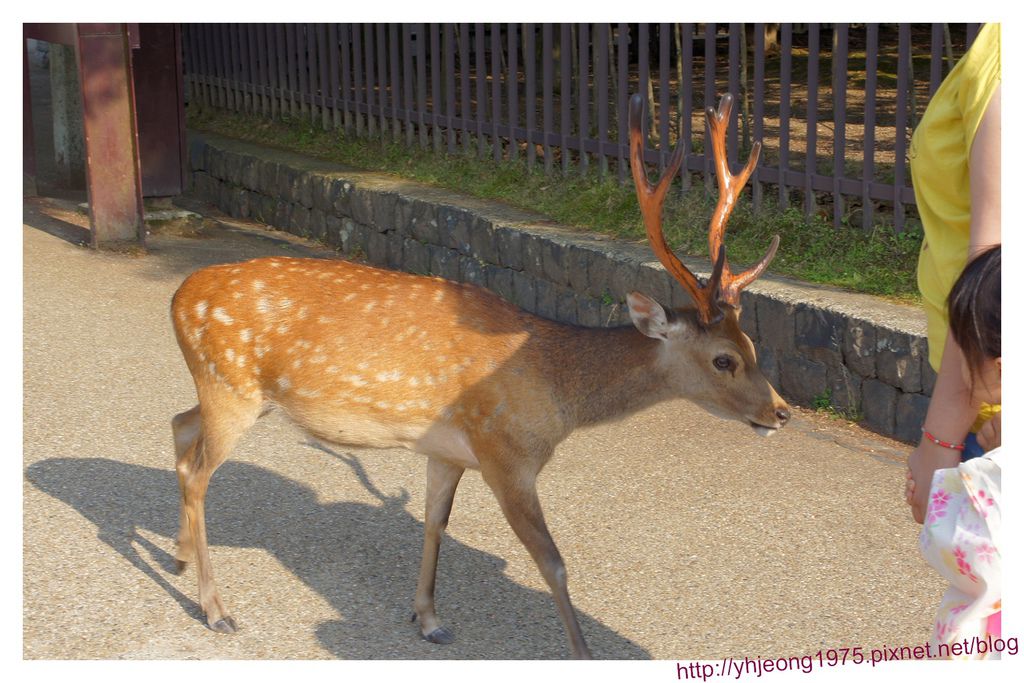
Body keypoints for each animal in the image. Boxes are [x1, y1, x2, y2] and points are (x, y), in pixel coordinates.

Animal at [172, 93, 786, 659]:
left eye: (754, 345)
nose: (779, 411)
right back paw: (216, 609)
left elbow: (435, 522)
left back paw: (178, 556)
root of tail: (179, 296)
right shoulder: (507, 454)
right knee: (199, 472)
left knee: (180, 427)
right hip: (230, 388)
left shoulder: (447, 451)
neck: (557, 392)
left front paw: (428, 619)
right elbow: (553, 563)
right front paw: (583, 652)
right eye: (724, 359)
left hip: (232, 391)